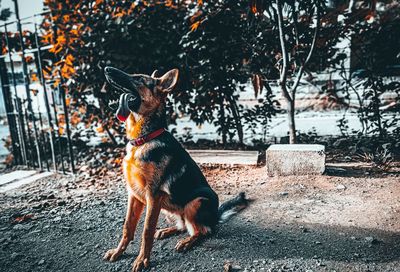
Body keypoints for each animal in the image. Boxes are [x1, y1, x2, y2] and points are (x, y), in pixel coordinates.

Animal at [103, 66, 247, 272]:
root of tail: (215, 216)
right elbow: (127, 227)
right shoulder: (134, 195)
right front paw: (118, 252)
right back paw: (167, 230)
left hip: (195, 202)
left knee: (203, 231)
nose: (106, 69)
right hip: (166, 207)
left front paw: (142, 260)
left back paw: (187, 241)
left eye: (138, 79)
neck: (144, 139)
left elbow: (146, 231)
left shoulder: (152, 195)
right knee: (183, 225)